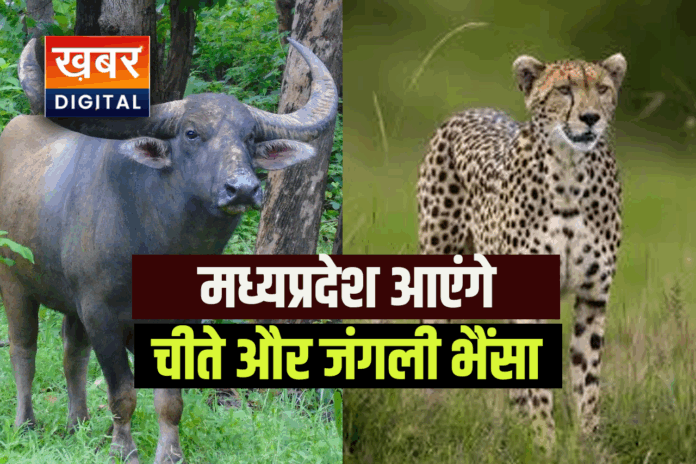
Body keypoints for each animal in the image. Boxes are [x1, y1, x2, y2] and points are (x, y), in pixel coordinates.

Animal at [0, 37, 337, 463]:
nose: (242, 189)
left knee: (72, 352)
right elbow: (123, 394)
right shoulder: (101, 313)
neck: (158, 245)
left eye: (249, 137)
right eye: (191, 133)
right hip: (15, 282)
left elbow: (170, 401)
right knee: (23, 348)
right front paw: (123, 450)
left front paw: (169, 454)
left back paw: (78, 424)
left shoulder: (177, 320)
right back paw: (26, 423)